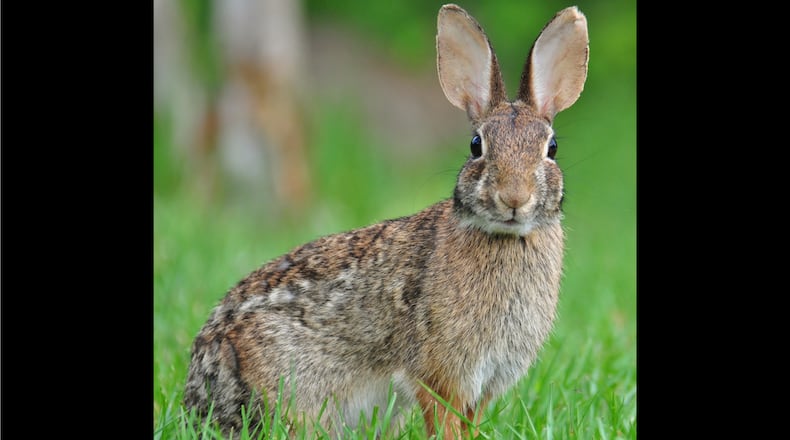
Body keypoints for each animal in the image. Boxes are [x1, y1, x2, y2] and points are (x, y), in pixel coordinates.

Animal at [183, 3, 588, 439]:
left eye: (551, 148)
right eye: (476, 145)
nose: (514, 197)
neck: (506, 237)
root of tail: (201, 387)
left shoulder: (485, 384)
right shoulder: (440, 374)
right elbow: (444, 421)